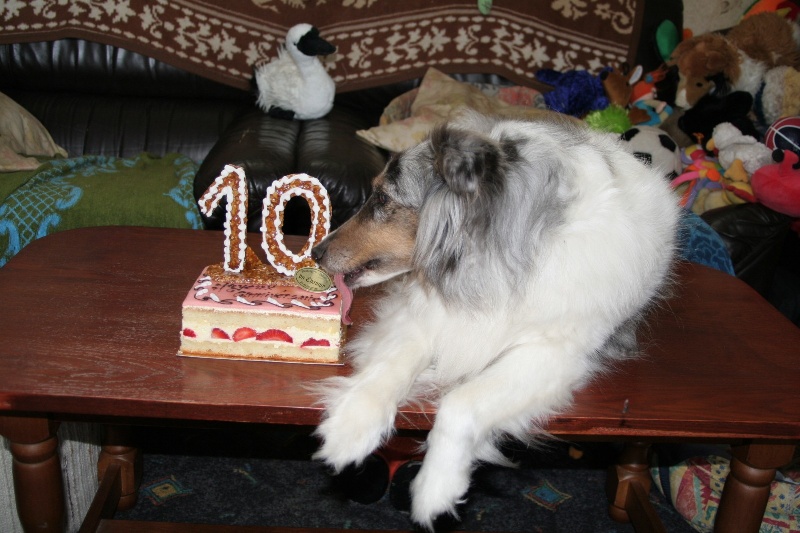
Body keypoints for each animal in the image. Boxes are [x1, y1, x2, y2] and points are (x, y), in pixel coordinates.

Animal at [310, 111, 680, 528]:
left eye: (384, 198)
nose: (316, 253)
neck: (489, 258)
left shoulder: (551, 354)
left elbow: (461, 403)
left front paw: (436, 486)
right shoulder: (426, 318)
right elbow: (388, 367)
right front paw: (349, 429)